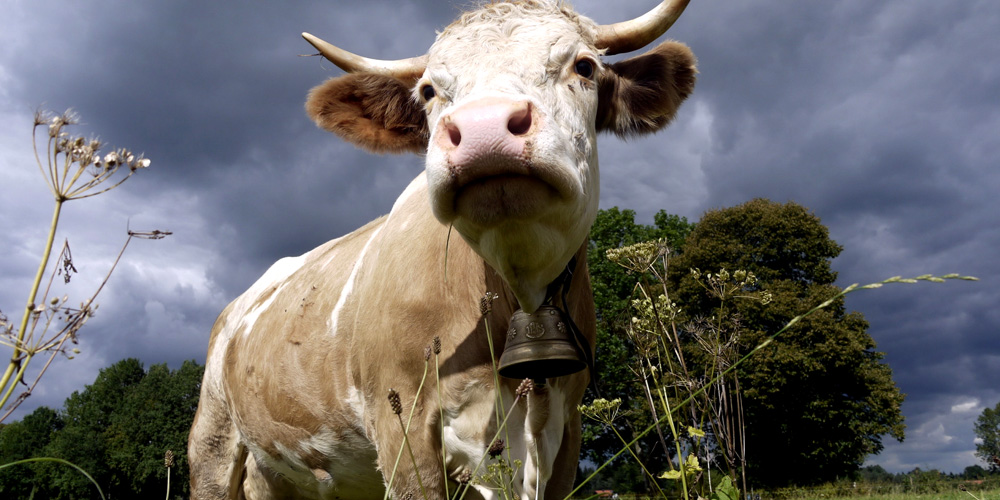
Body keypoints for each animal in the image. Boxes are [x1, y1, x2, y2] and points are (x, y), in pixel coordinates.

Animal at [188, 0, 696, 498]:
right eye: (429, 91)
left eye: (585, 66)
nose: (484, 128)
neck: (515, 291)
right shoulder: (401, 426)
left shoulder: (565, 432)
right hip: (212, 441)